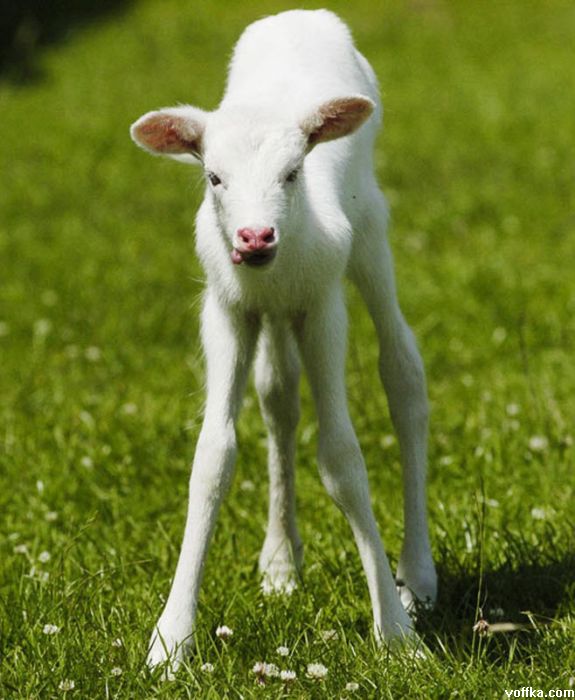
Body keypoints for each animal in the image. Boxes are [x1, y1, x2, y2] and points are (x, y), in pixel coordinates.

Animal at [130, 8, 437, 670]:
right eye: (213, 177)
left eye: (292, 173)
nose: (254, 236)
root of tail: (300, 14)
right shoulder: (225, 307)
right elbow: (213, 457)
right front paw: (171, 639)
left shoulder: (321, 305)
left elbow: (342, 458)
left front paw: (397, 634)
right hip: (269, 315)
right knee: (279, 397)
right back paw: (280, 563)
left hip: (369, 231)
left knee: (402, 370)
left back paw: (418, 574)